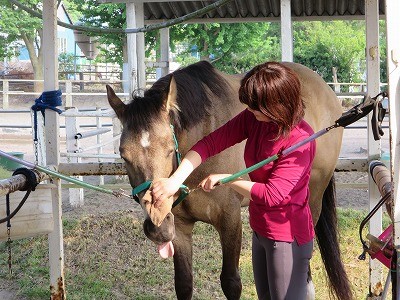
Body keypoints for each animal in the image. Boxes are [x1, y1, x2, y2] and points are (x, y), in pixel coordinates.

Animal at [105, 61, 350, 300]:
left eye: (169, 149)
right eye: (123, 154)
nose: (158, 226)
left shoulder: (229, 220)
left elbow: (231, 282)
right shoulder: (180, 228)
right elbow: (184, 284)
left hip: (313, 201)